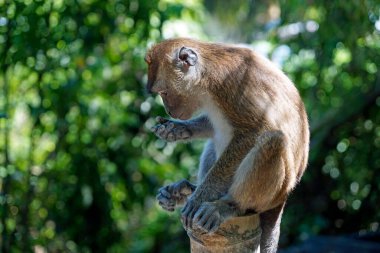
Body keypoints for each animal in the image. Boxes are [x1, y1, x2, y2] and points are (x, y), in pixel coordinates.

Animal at [145, 38, 308, 253]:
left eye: (164, 92)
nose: (169, 110)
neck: (205, 74)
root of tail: (284, 197)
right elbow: (212, 126)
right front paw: (176, 129)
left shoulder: (230, 85)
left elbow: (255, 131)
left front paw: (200, 197)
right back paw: (186, 190)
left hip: (274, 193)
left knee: (273, 141)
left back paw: (229, 205)